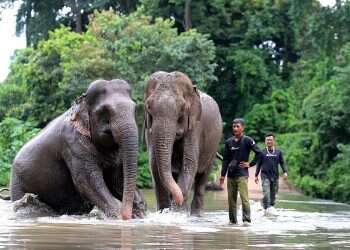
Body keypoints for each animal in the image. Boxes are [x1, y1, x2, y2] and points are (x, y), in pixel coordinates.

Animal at [9, 79, 145, 220]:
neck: (81, 101)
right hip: (17, 183)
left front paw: (139, 215)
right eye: (104, 110)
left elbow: (118, 179)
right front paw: (117, 215)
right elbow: (87, 181)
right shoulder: (72, 143)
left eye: (135, 109)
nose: (126, 215)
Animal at [144, 71, 221, 215]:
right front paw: (165, 212)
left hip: (214, 146)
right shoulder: (149, 129)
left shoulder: (195, 125)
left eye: (182, 108)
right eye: (148, 107)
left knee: (202, 179)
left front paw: (178, 213)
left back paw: (195, 213)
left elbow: (189, 163)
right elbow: (154, 164)